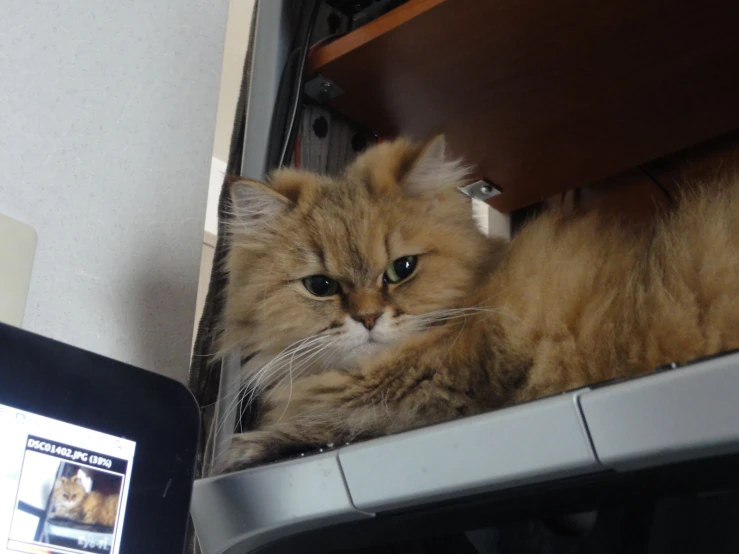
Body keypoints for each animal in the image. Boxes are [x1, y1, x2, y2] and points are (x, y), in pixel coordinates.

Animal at [218, 135, 739, 470]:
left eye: (401, 269)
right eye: (321, 286)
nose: (367, 318)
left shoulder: (438, 402)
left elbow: (341, 424)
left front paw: (247, 445)